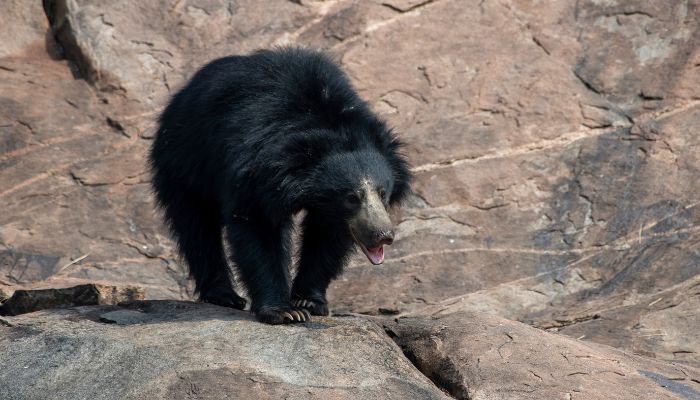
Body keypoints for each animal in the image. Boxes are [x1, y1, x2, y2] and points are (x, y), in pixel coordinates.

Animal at [148, 47, 410, 324]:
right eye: (351, 197)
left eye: (383, 193)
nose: (383, 235)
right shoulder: (254, 168)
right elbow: (259, 224)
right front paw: (285, 311)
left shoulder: (333, 211)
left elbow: (326, 236)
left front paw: (309, 301)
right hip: (185, 160)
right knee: (196, 226)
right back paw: (224, 295)